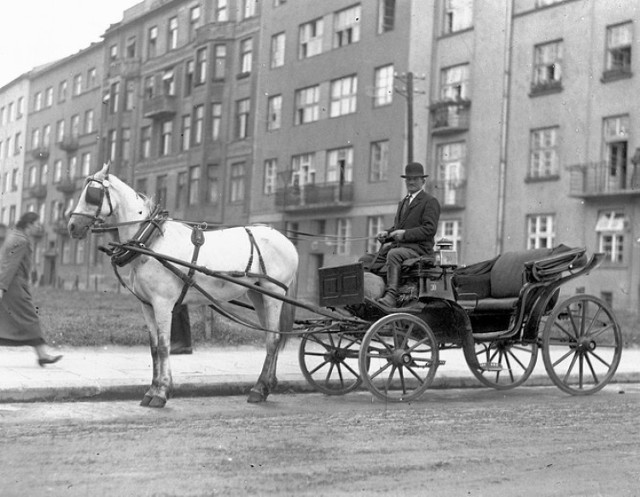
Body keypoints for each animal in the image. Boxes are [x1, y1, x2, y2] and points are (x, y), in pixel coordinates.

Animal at [69, 165, 298, 404]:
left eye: (92, 194)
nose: (72, 226)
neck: (151, 242)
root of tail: (286, 240)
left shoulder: (162, 304)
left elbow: (164, 346)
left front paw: (161, 392)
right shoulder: (147, 305)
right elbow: (154, 348)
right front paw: (152, 390)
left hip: (273, 294)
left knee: (273, 339)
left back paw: (259, 388)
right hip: (258, 295)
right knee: (272, 336)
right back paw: (267, 386)